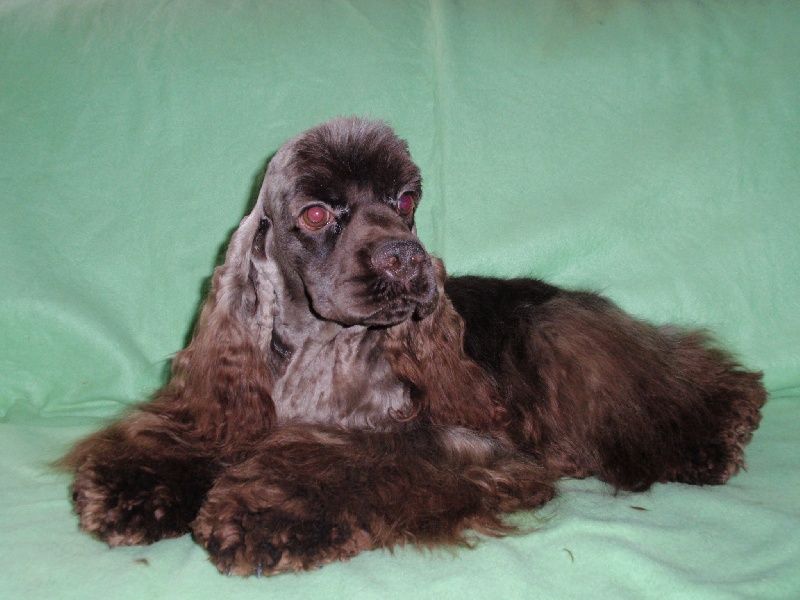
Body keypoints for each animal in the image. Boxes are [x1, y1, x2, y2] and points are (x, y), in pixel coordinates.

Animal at [62, 117, 766, 576]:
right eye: (316, 213)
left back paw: (716, 434)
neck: (325, 352)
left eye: (405, 199)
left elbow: (354, 461)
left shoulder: (464, 444)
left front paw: (260, 510)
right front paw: (134, 490)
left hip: (563, 338)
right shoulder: (229, 406)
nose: (404, 254)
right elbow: (186, 439)